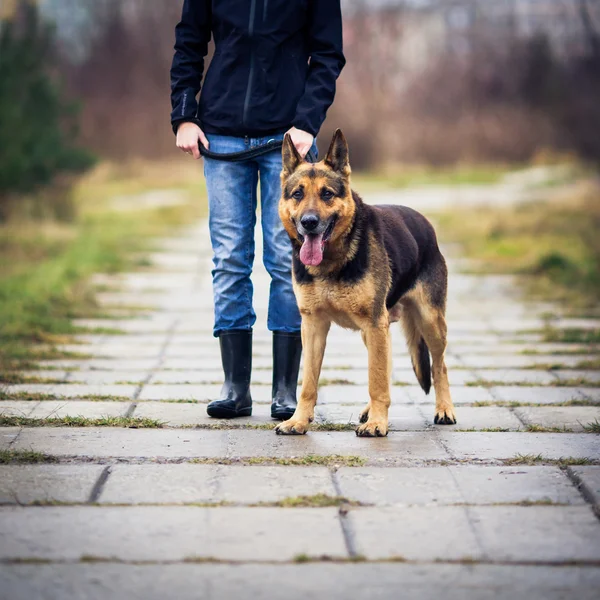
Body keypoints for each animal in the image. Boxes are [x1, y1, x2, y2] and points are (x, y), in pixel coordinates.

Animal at [276, 129, 454, 436]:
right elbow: (308, 383)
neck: (332, 261)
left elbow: (376, 379)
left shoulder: (373, 323)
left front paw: (378, 424)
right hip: (373, 332)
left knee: (438, 366)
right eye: (297, 194)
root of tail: (425, 224)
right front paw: (298, 421)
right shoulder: (313, 326)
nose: (309, 222)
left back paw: (444, 409)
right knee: (388, 366)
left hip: (428, 323)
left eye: (327, 194)